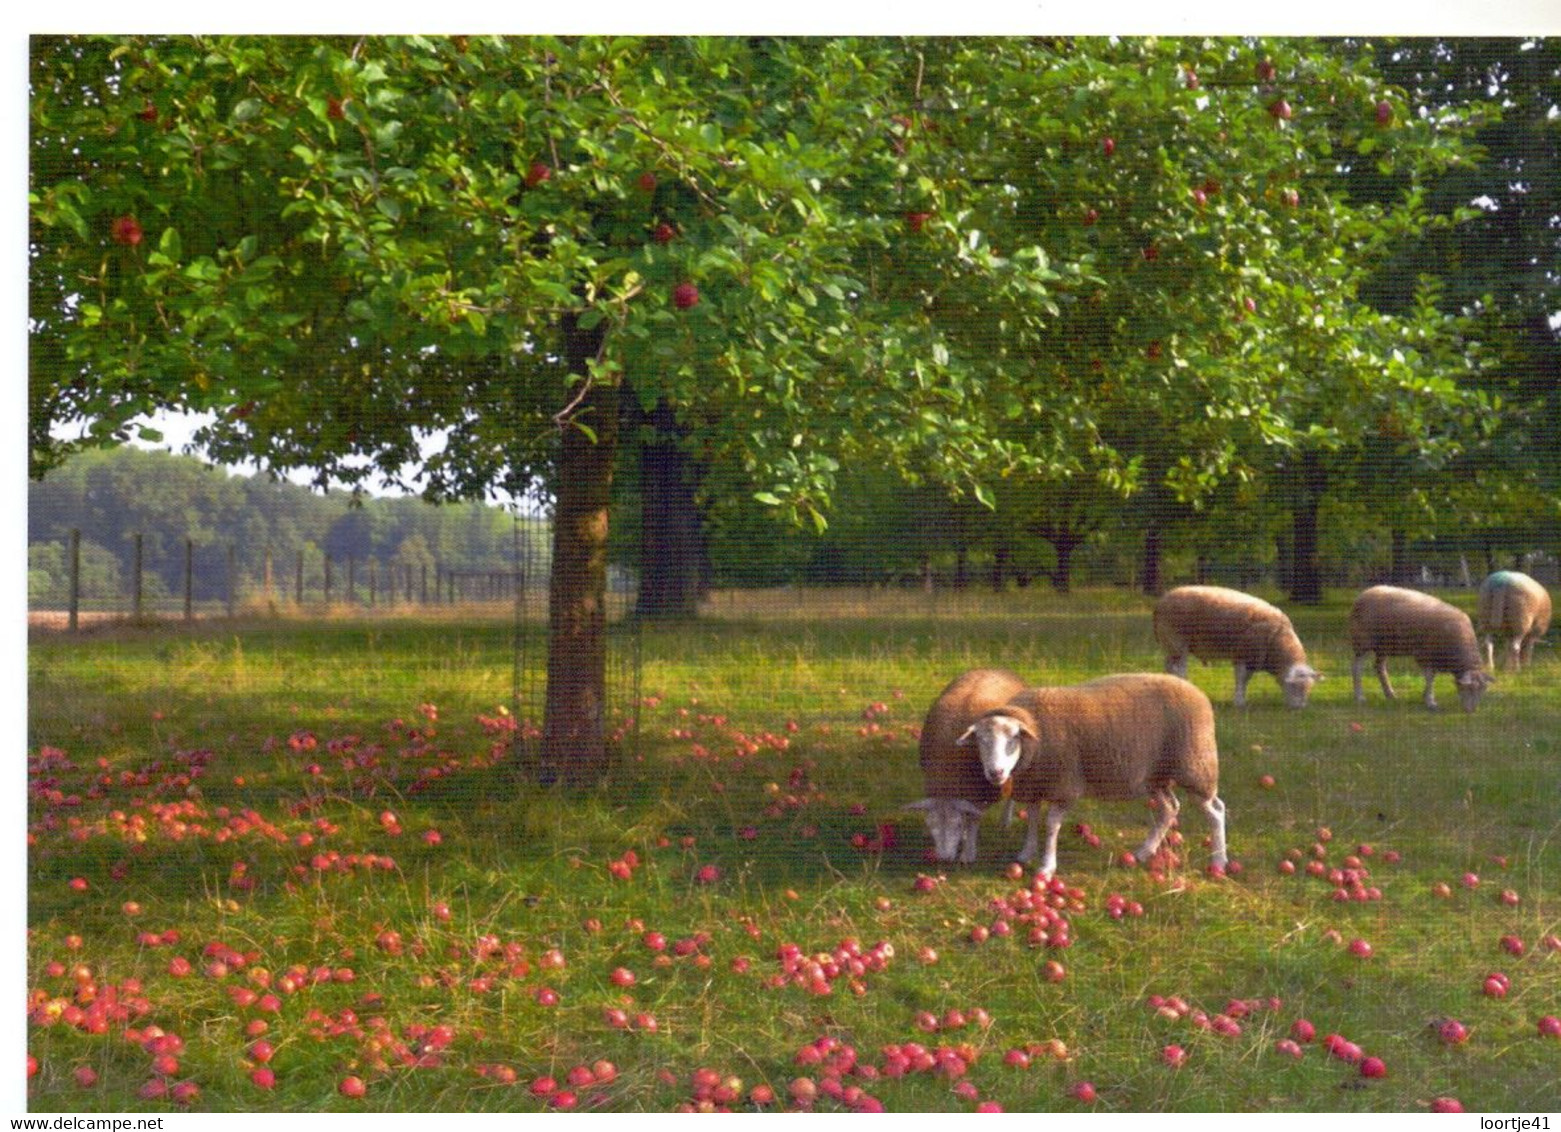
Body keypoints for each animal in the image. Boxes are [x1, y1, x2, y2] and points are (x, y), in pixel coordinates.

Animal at [899, 668, 1030, 861]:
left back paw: (1005, 821)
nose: (945, 858)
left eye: (957, 825)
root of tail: (996, 668)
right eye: (931, 825)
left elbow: (973, 821)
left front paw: (968, 853)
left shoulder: (981, 793)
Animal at [955, 668, 1223, 880]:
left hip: (1196, 766)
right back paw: (1144, 852)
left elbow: (1051, 826)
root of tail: (1195, 690)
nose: (996, 772)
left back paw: (1219, 861)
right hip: (1155, 776)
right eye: (981, 741)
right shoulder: (1036, 784)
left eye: (1013, 739)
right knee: (1169, 808)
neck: (1037, 731)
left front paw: (1046, 867)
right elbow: (1032, 819)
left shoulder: (1064, 786)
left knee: (1215, 812)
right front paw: (1026, 853)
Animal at [1155, 583, 1323, 705]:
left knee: (1169, 667)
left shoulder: (1253, 659)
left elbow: (1246, 679)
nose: (1299, 708)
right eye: (1294, 686)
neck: (1278, 640)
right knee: (1180, 670)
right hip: (1178, 641)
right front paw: (1239, 702)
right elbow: (1241, 678)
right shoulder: (1243, 654)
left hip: (1169, 644)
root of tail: (1162, 601)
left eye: (1309, 688)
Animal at [1348, 587, 1492, 711]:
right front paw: (1430, 701)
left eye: (1482, 690)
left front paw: (1425, 697)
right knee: (1357, 668)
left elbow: (1431, 678)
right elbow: (1430, 678)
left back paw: (1390, 694)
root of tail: (1365, 592)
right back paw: (1360, 696)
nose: (1471, 711)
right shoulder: (1425, 654)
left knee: (1380, 667)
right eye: (1468, 688)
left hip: (1384, 646)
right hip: (1362, 642)